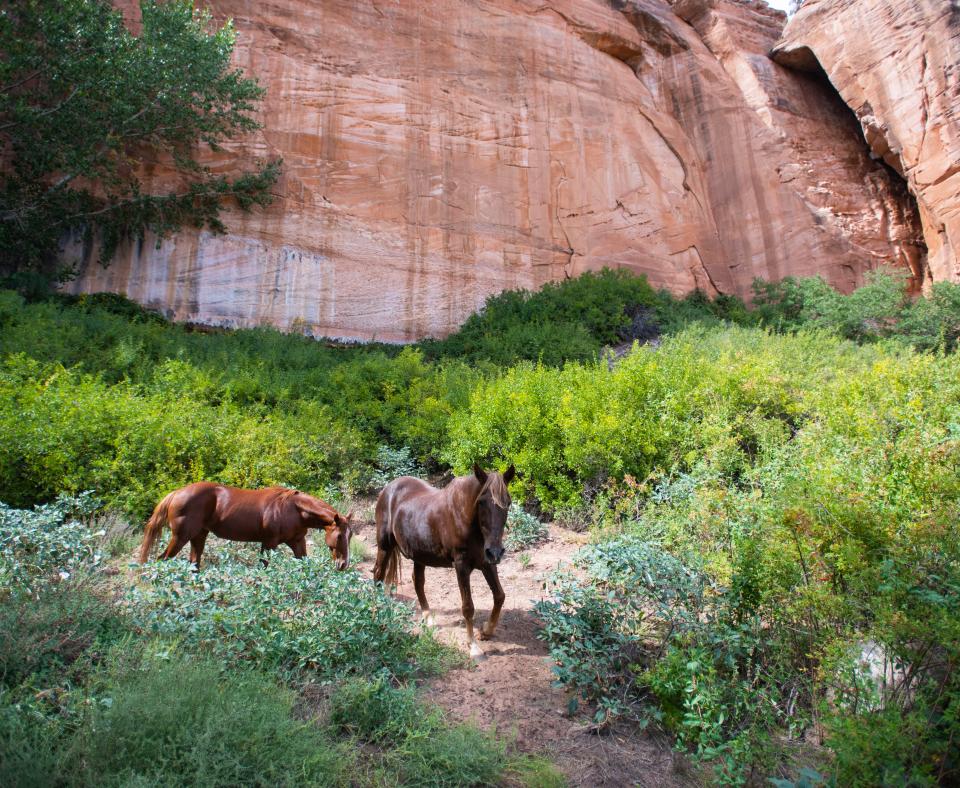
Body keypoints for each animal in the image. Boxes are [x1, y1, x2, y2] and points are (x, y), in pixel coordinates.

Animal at [139, 484, 352, 568]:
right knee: (161, 559)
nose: (343, 565)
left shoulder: (297, 541)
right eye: (340, 536)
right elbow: (264, 566)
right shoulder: (269, 543)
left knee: (194, 564)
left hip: (199, 536)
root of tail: (176, 493)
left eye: (349, 536)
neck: (294, 509)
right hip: (181, 537)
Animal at [372, 462, 512, 660]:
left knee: (417, 582)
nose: (496, 552)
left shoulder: (486, 563)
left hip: (419, 555)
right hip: (384, 547)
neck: (465, 517)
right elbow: (468, 607)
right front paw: (473, 647)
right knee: (378, 575)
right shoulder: (461, 566)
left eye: (508, 502)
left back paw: (428, 618)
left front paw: (486, 631)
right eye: (482, 502)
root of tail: (388, 489)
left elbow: (499, 596)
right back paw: (377, 614)